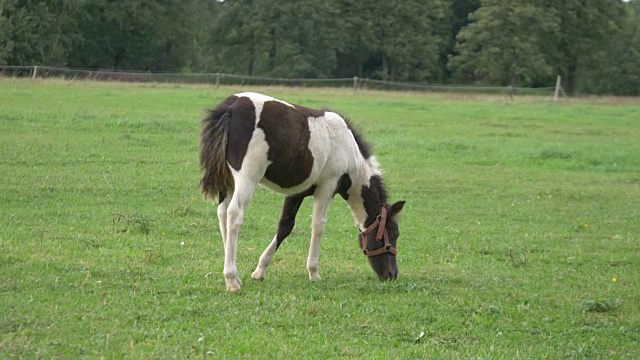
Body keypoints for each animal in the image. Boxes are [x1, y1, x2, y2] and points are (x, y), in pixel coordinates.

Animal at [200, 91, 404, 292]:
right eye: (394, 234)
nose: (392, 275)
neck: (349, 151)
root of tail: (231, 107)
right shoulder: (327, 187)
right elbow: (318, 226)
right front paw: (314, 273)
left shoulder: (297, 191)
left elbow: (285, 226)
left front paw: (260, 271)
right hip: (246, 178)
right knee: (234, 213)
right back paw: (231, 280)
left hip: (228, 181)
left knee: (222, 213)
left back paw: (236, 276)